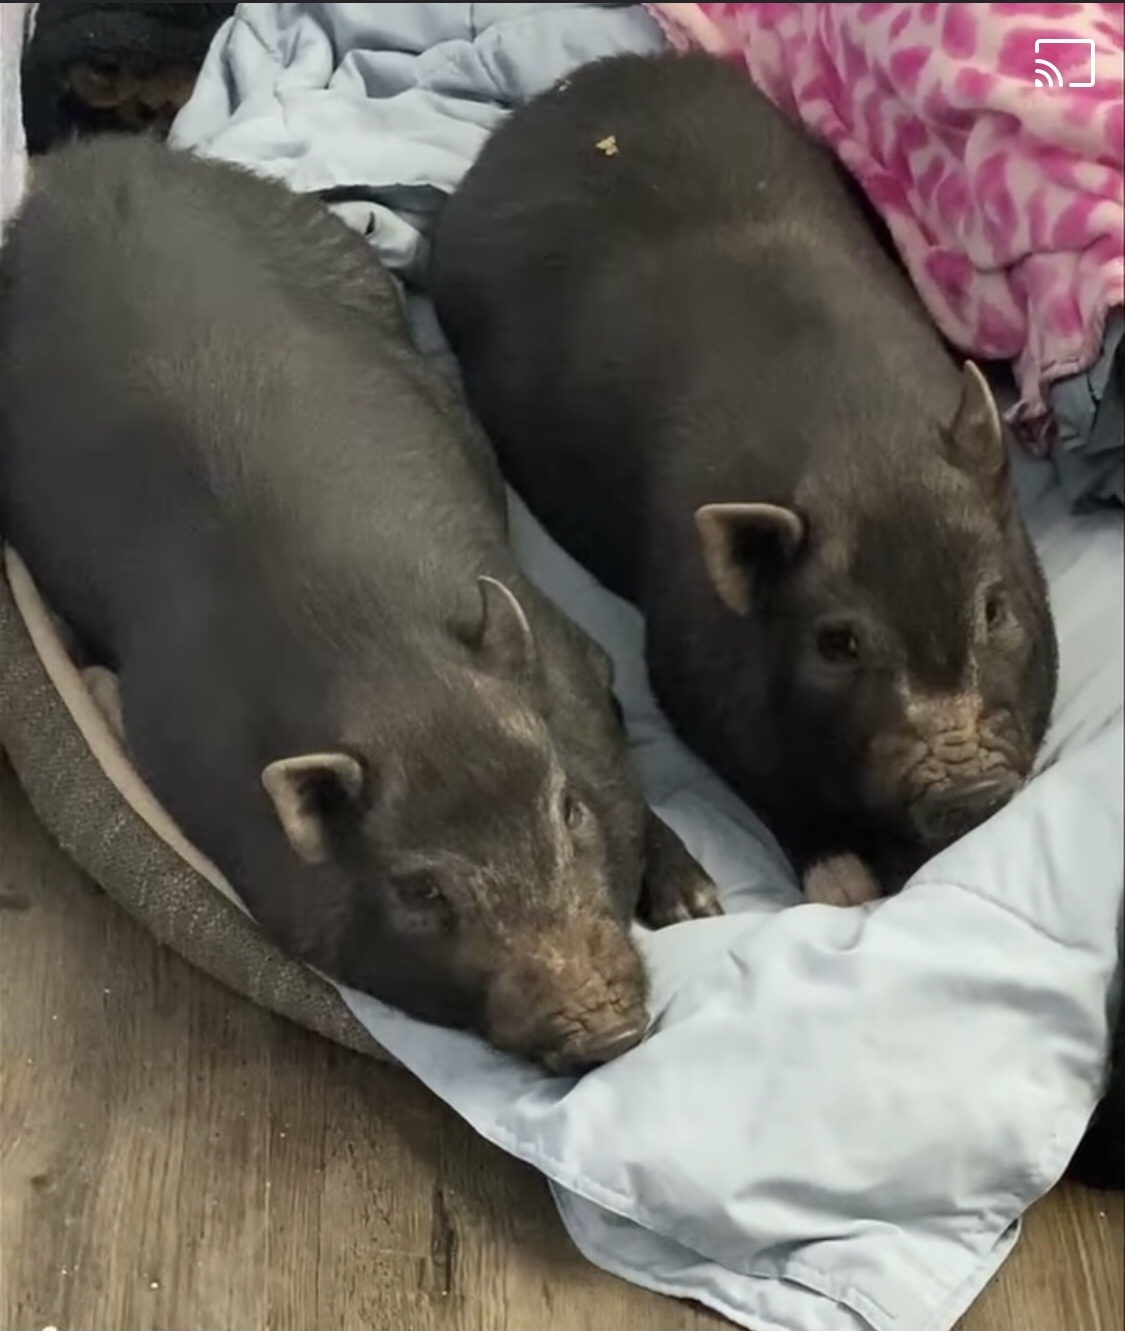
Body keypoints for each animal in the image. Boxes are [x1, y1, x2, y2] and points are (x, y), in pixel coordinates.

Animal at [0, 134, 721, 1074]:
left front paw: (700, 905)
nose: (604, 1029)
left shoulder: (574, 652)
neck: (383, 666)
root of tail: (91, 158)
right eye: (423, 889)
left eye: (569, 809)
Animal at [430, 51, 1059, 900]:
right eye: (837, 643)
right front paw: (846, 889)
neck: (863, 451)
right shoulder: (683, 668)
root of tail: (551, 100)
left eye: (994, 607)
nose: (967, 790)